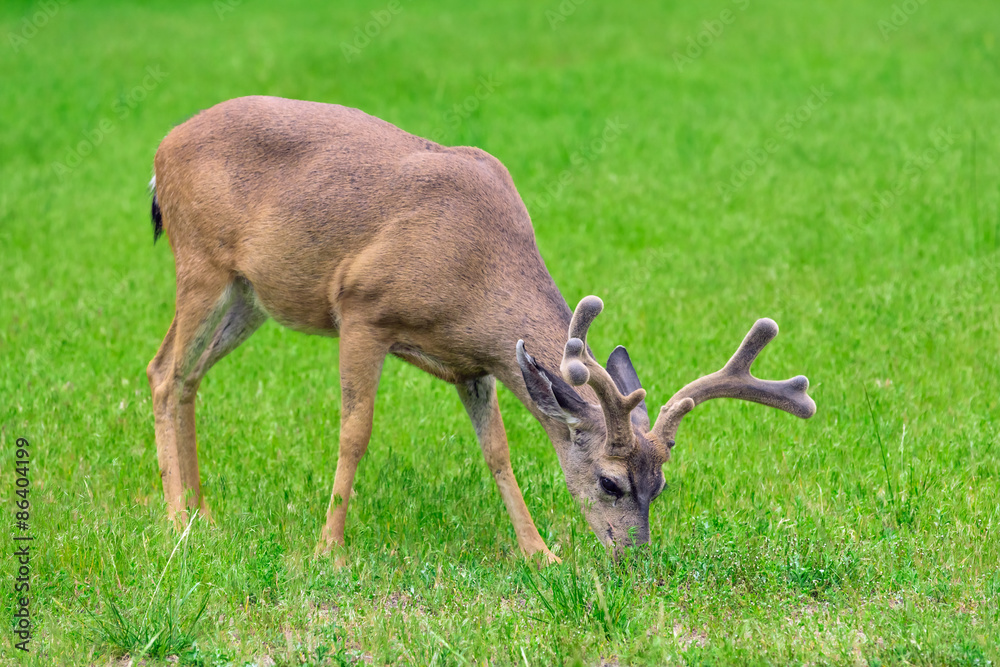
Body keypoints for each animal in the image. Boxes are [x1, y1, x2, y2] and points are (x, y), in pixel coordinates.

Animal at [148, 94, 816, 564]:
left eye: (662, 486)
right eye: (611, 482)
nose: (635, 558)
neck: (474, 273)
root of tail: (160, 152)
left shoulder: (476, 362)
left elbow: (497, 451)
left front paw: (540, 554)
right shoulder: (363, 309)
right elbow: (354, 433)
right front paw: (328, 550)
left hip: (249, 294)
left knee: (187, 376)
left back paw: (203, 513)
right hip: (200, 261)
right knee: (162, 372)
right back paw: (178, 518)